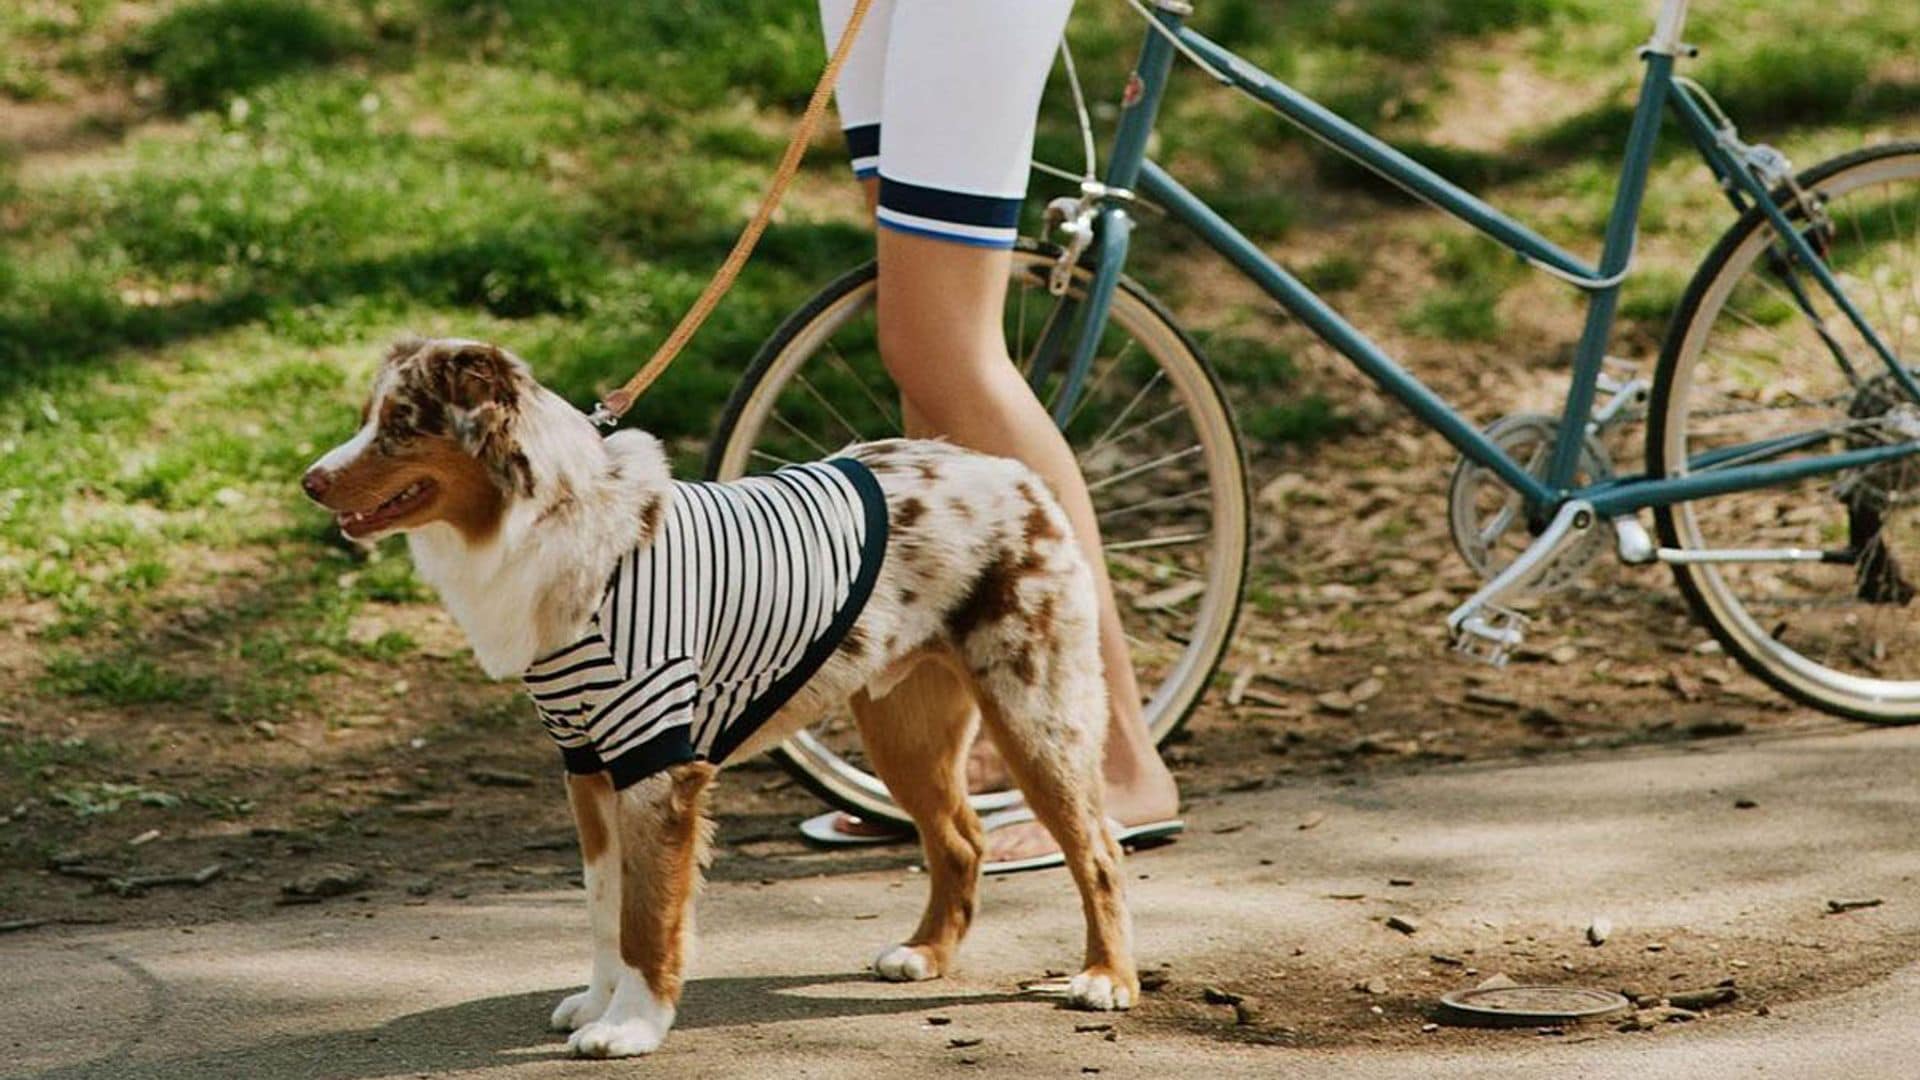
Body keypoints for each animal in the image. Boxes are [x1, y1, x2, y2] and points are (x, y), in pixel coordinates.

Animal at [303, 336, 1136, 1053]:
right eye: (367, 418)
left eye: (400, 425)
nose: (309, 481)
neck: (562, 523)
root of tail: (1011, 472)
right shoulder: (587, 767)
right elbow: (603, 909)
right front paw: (599, 1002)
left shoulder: (656, 764)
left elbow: (646, 916)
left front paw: (631, 1027)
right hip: (903, 727)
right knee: (961, 838)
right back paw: (925, 953)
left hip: (1036, 714)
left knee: (1097, 848)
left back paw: (1106, 978)